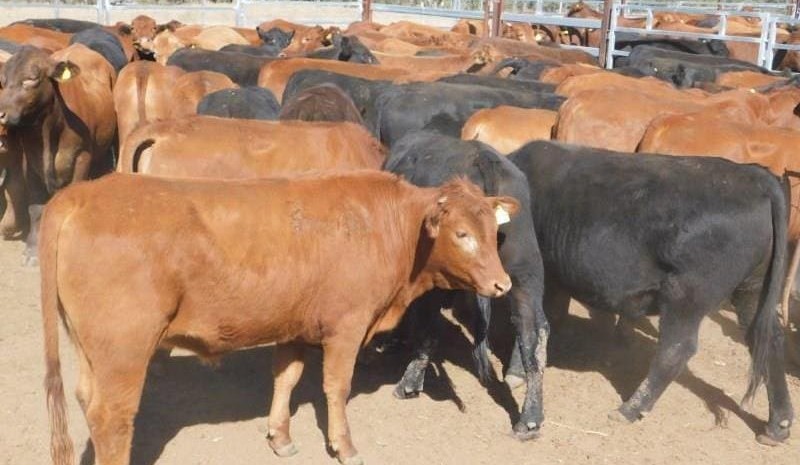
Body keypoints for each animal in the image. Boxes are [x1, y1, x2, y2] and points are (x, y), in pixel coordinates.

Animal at [0, 44, 116, 263]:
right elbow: (35, 207)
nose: (1, 113)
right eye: (3, 81)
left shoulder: (82, 158)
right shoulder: (31, 163)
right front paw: (32, 249)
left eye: (31, 78)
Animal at [40, 170, 517, 465]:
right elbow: (336, 388)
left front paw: (281, 437)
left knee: (87, 401)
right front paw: (344, 446)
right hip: (125, 350)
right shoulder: (346, 327)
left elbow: (286, 378)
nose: (503, 285)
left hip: (91, 350)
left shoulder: (295, 327)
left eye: (495, 233)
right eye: (461, 234)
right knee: (113, 416)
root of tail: (81, 193)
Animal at [384, 131, 547, 440]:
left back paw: (409, 383)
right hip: (526, 272)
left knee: (429, 329)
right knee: (533, 334)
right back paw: (530, 418)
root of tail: (482, 159)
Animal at [506, 140, 792, 444]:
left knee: (676, 349)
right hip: (751, 291)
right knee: (768, 340)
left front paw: (515, 373)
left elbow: (528, 326)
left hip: (686, 297)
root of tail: (755, 177)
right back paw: (778, 425)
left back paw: (630, 409)